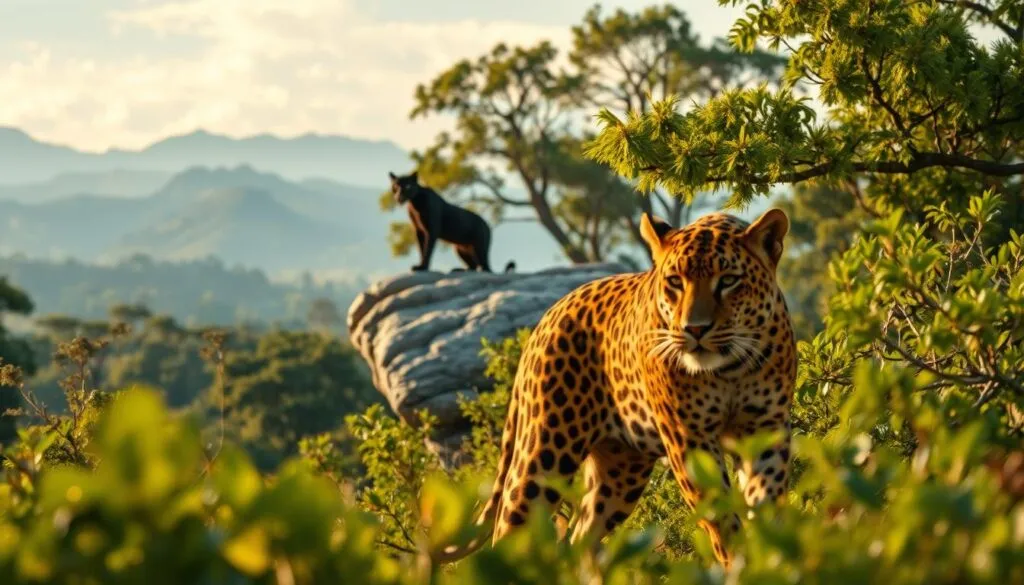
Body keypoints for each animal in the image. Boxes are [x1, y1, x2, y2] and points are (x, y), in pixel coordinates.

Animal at [431, 208, 797, 568]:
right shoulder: (689, 440)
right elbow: (721, 516)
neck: (729, 367)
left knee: (580, 536)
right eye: (675, 282)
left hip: (621, 471)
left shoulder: (765, 429)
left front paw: (770, 553)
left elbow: (765, 500)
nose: (694, 329)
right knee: (510, 531)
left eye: (729, 281)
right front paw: (739, 562)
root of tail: (546, 318)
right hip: (544, 455)